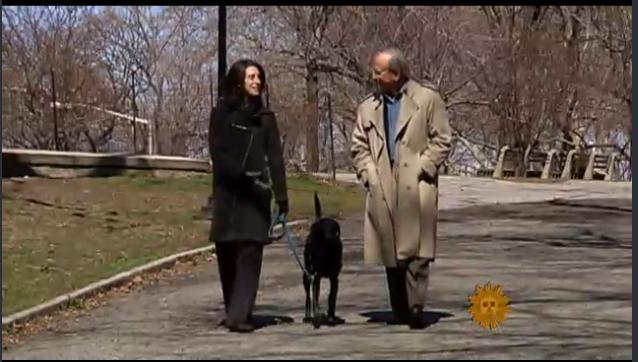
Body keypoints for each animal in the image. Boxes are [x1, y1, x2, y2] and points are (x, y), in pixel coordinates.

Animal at [304, 194, 344, 326]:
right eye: (315, 230)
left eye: (333, 229)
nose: (310, 240)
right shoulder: (316, 277)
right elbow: (315, 299)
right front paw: (317, 316)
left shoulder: (334, 279)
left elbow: (331, 298)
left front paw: (331, 316)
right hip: (306, 277)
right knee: (308, 297)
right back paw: (307, 317)